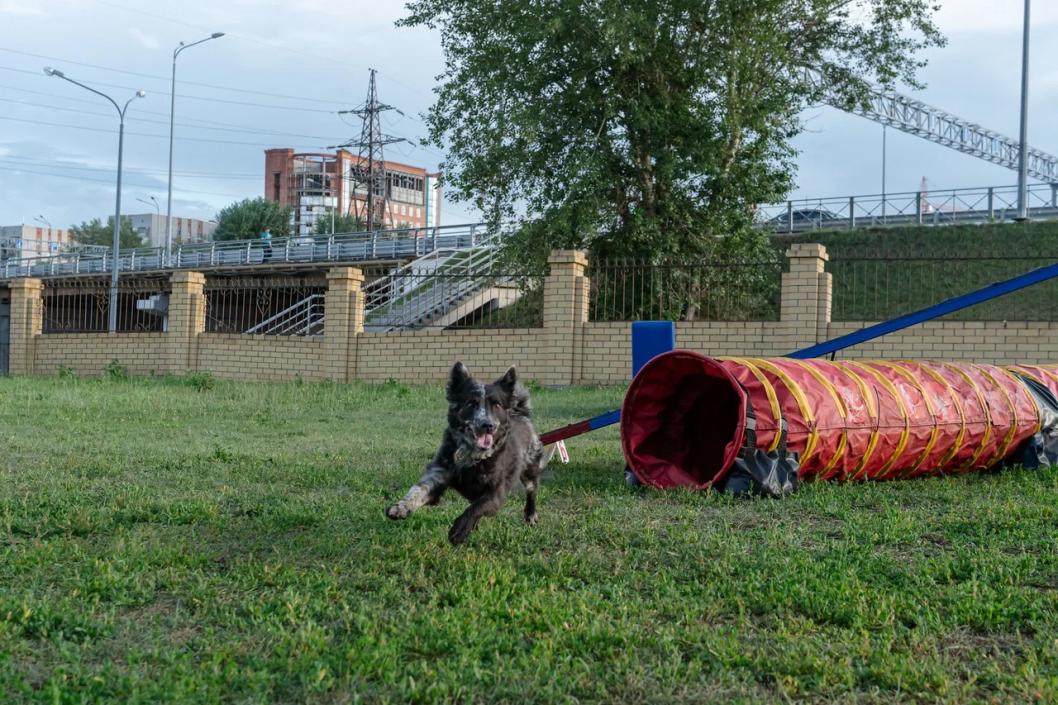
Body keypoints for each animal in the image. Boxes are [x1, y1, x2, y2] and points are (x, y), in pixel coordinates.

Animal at [385, 362, 545, 541]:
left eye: (496, 405)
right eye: (471, 403)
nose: (487, 425)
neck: (471, 455)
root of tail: (521, 414)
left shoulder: (496, 492)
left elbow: (476, 507)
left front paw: (460, 528)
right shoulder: (438, 475)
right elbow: (418, 491)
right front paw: (401, 506)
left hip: (530, 470)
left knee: (532, 492)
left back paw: (530, 515)